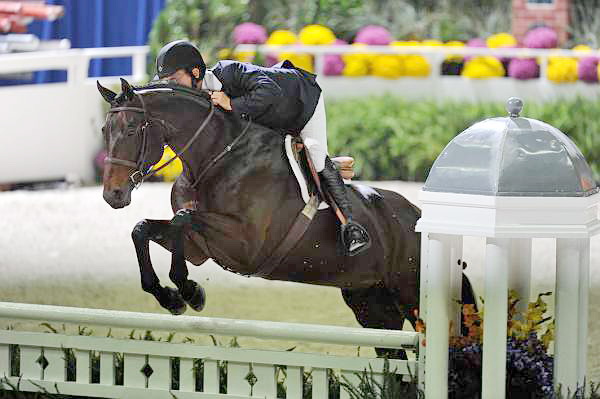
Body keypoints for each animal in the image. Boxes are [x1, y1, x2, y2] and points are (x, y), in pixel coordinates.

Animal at [97, 79, 474, 360]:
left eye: (131, 128)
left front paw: (188, 291)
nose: (113, 195)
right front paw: (172, 296)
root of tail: (419, 217)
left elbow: (182, 220)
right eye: (104, 129)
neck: (215, 156)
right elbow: (145, 229)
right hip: (372, 305)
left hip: (412, 292)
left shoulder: (246, 244)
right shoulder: (199, 249)